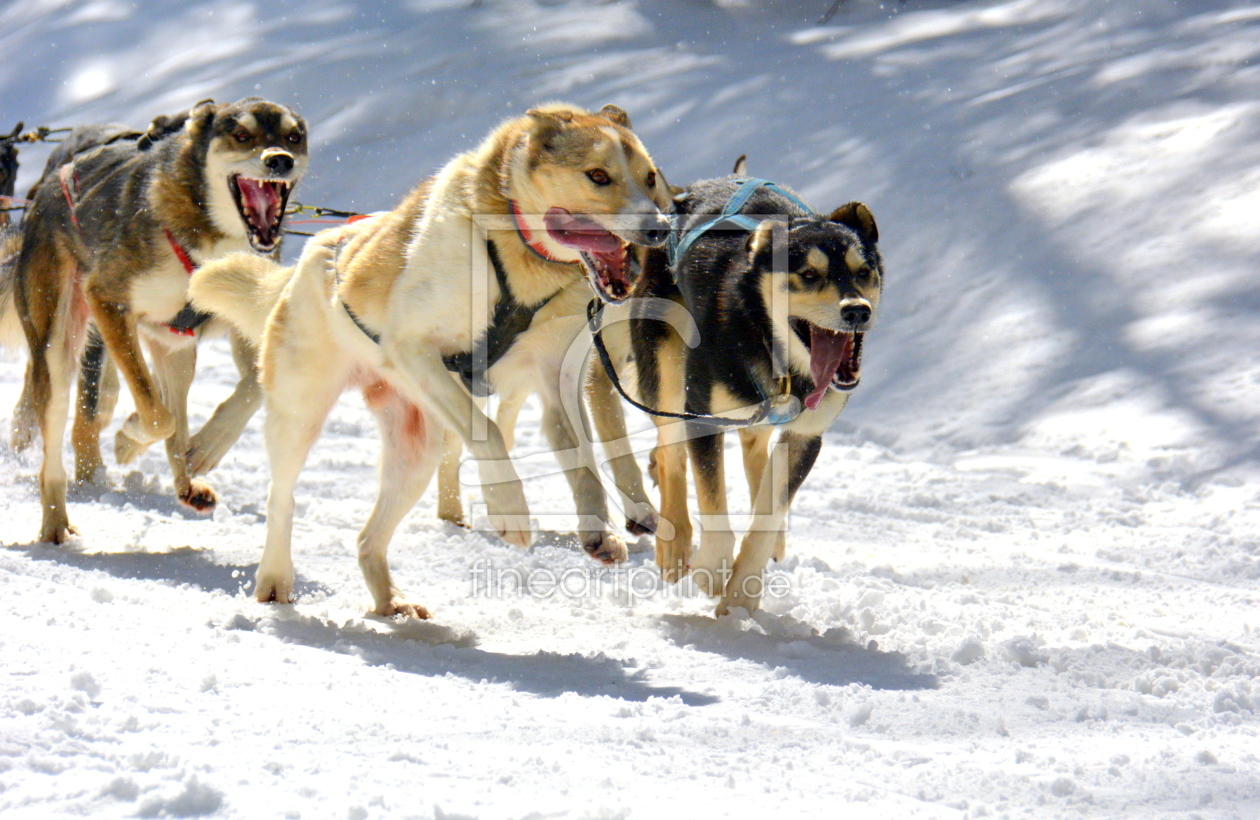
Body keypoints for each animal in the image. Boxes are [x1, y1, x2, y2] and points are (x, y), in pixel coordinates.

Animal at [0, 97, 307, 544]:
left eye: (293, 136)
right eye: (242, 135)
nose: (280, 160)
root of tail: (48, 190)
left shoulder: (238, 326)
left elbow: (250, 387)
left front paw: (207, 444)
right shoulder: (107, 302)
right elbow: (157, 415)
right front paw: (129, 436)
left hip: (176, 349)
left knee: (174, 409)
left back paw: (187, 484)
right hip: (60, 346)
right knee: (59, 435)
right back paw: (55, 519)